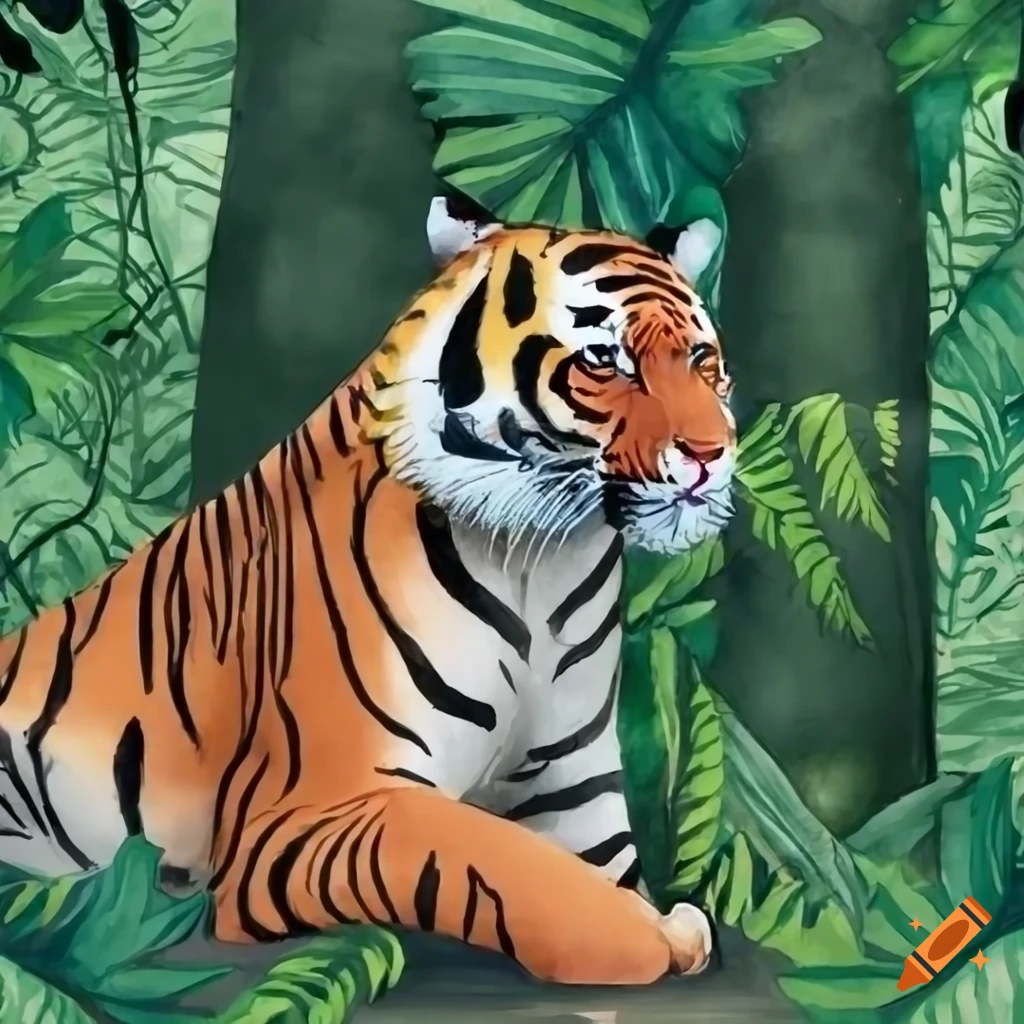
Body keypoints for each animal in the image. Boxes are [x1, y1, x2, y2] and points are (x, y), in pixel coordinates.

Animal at [0, 193, 736, 986]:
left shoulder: (572, 788)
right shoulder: (313, 810)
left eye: (701, 359)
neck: (543, 563)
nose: (710, 453)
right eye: (604, 360)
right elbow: (497, 859)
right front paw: (660, 934)